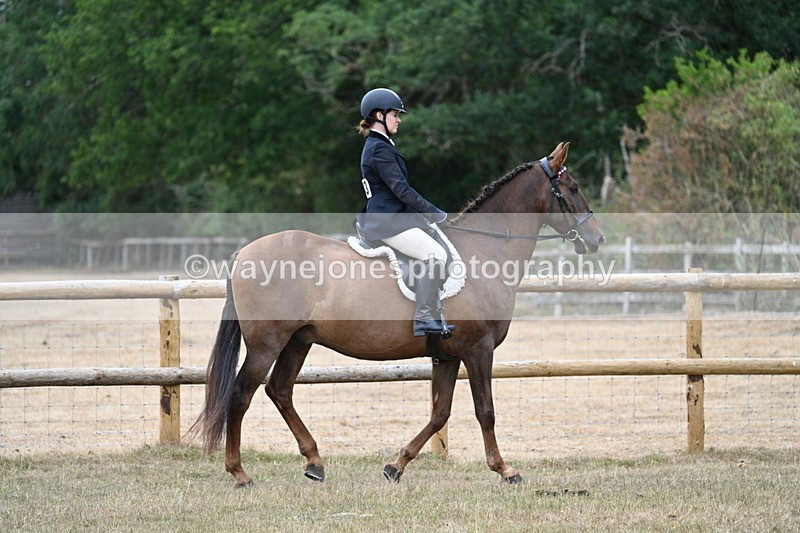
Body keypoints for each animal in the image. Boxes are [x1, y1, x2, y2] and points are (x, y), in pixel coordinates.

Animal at [194, 141, 605, 487]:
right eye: (572, 188)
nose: (597, 239)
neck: (486, 250)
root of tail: (243, 253)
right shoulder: (479, 349)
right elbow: (485, 410)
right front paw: (505, 470)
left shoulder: (446, 356)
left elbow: (440, 413)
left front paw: (396, 465)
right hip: (267, 343)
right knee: (241, 395)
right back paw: (239, 473)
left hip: (298, 340)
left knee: (280, 391)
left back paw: (315, 463)